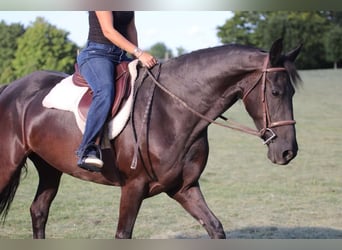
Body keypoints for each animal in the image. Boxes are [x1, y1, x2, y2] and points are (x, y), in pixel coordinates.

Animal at [0, 38, 300, 238]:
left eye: (293, 93)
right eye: (275, 92)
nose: (288, 152)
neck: (172, 110)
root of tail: (11, 88)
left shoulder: (184, 188)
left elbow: (215, 227)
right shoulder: (133, 188)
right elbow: (123, 234)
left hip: (49, 167)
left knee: (39, 211)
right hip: (8, 165)